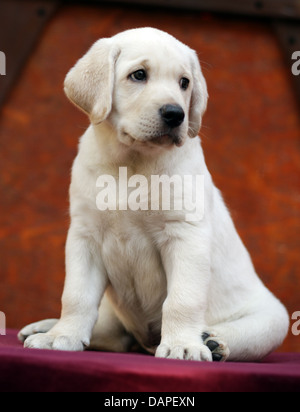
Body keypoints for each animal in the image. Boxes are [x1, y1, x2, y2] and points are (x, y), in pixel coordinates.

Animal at [18, 27, 288, 360]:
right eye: (138, 75)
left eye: (184, 82)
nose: (175, 114)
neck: (130, 163)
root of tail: (143, 342)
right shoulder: (85, 235)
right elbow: (76, 295)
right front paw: (62, 337)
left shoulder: (185, 234)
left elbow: (182, 300)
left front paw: (183, 345)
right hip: (114, 316)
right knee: (108, 331)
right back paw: (45, 327)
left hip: (273, 319)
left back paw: (213, 341)